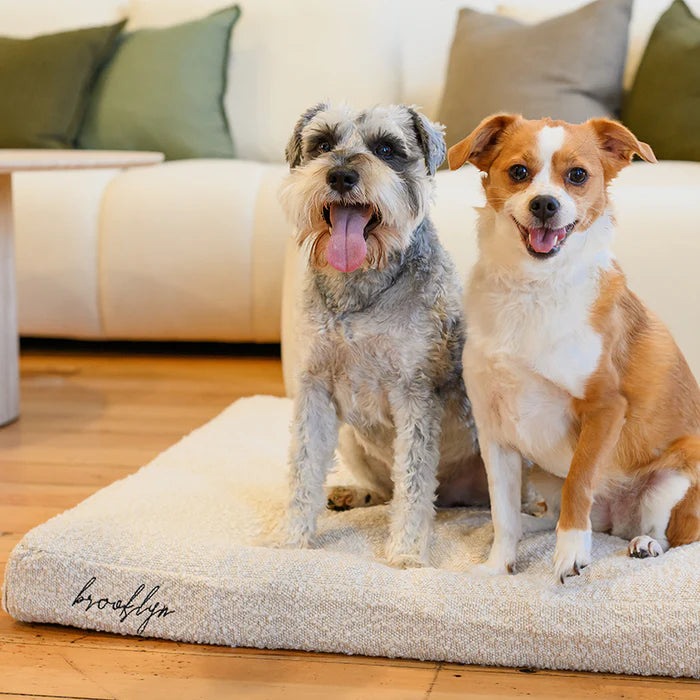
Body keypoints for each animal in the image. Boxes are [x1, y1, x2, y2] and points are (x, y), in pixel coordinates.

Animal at [279, 102, 490, 567]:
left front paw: (406, 553)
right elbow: (303, 469)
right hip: (349, 440)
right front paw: (289, 541)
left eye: (386, 149)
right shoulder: (313, 388)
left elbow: (412, 482)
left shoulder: (414, 393)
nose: (341, 176)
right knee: (383, 490)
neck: (360, 286)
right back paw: (351, 493)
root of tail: (458, 500)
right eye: (322, 143)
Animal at [448, 113, 700, 582]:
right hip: (541, 472)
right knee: (543, 512)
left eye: (578, 175)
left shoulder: (605, 410)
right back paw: (536, 523)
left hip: (673, 479)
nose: (545, 204)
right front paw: (497, 566)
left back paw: (645, 544)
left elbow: (580, 482)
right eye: (518, 172)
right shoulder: (495, 434)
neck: (533, 288)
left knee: (676, 536)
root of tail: (614, 523)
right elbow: (502, 513)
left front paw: (570, 552)